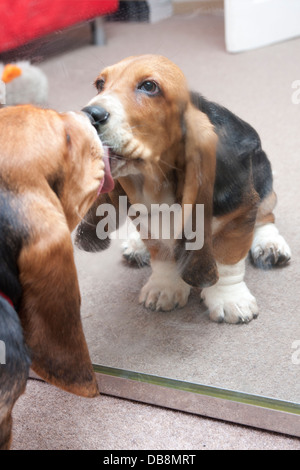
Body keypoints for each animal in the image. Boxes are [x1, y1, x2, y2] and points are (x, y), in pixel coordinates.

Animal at [76, 55, 292, 324]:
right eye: (100, 84)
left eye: (149, 86)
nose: (87, 116)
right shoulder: (148, 224)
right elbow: (162, 256)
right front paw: (163, 288)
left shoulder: (237, 216)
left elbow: (227, 262)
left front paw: (230, 300)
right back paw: (137, 246)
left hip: (262, 177)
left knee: (266, 216)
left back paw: (270, 245)